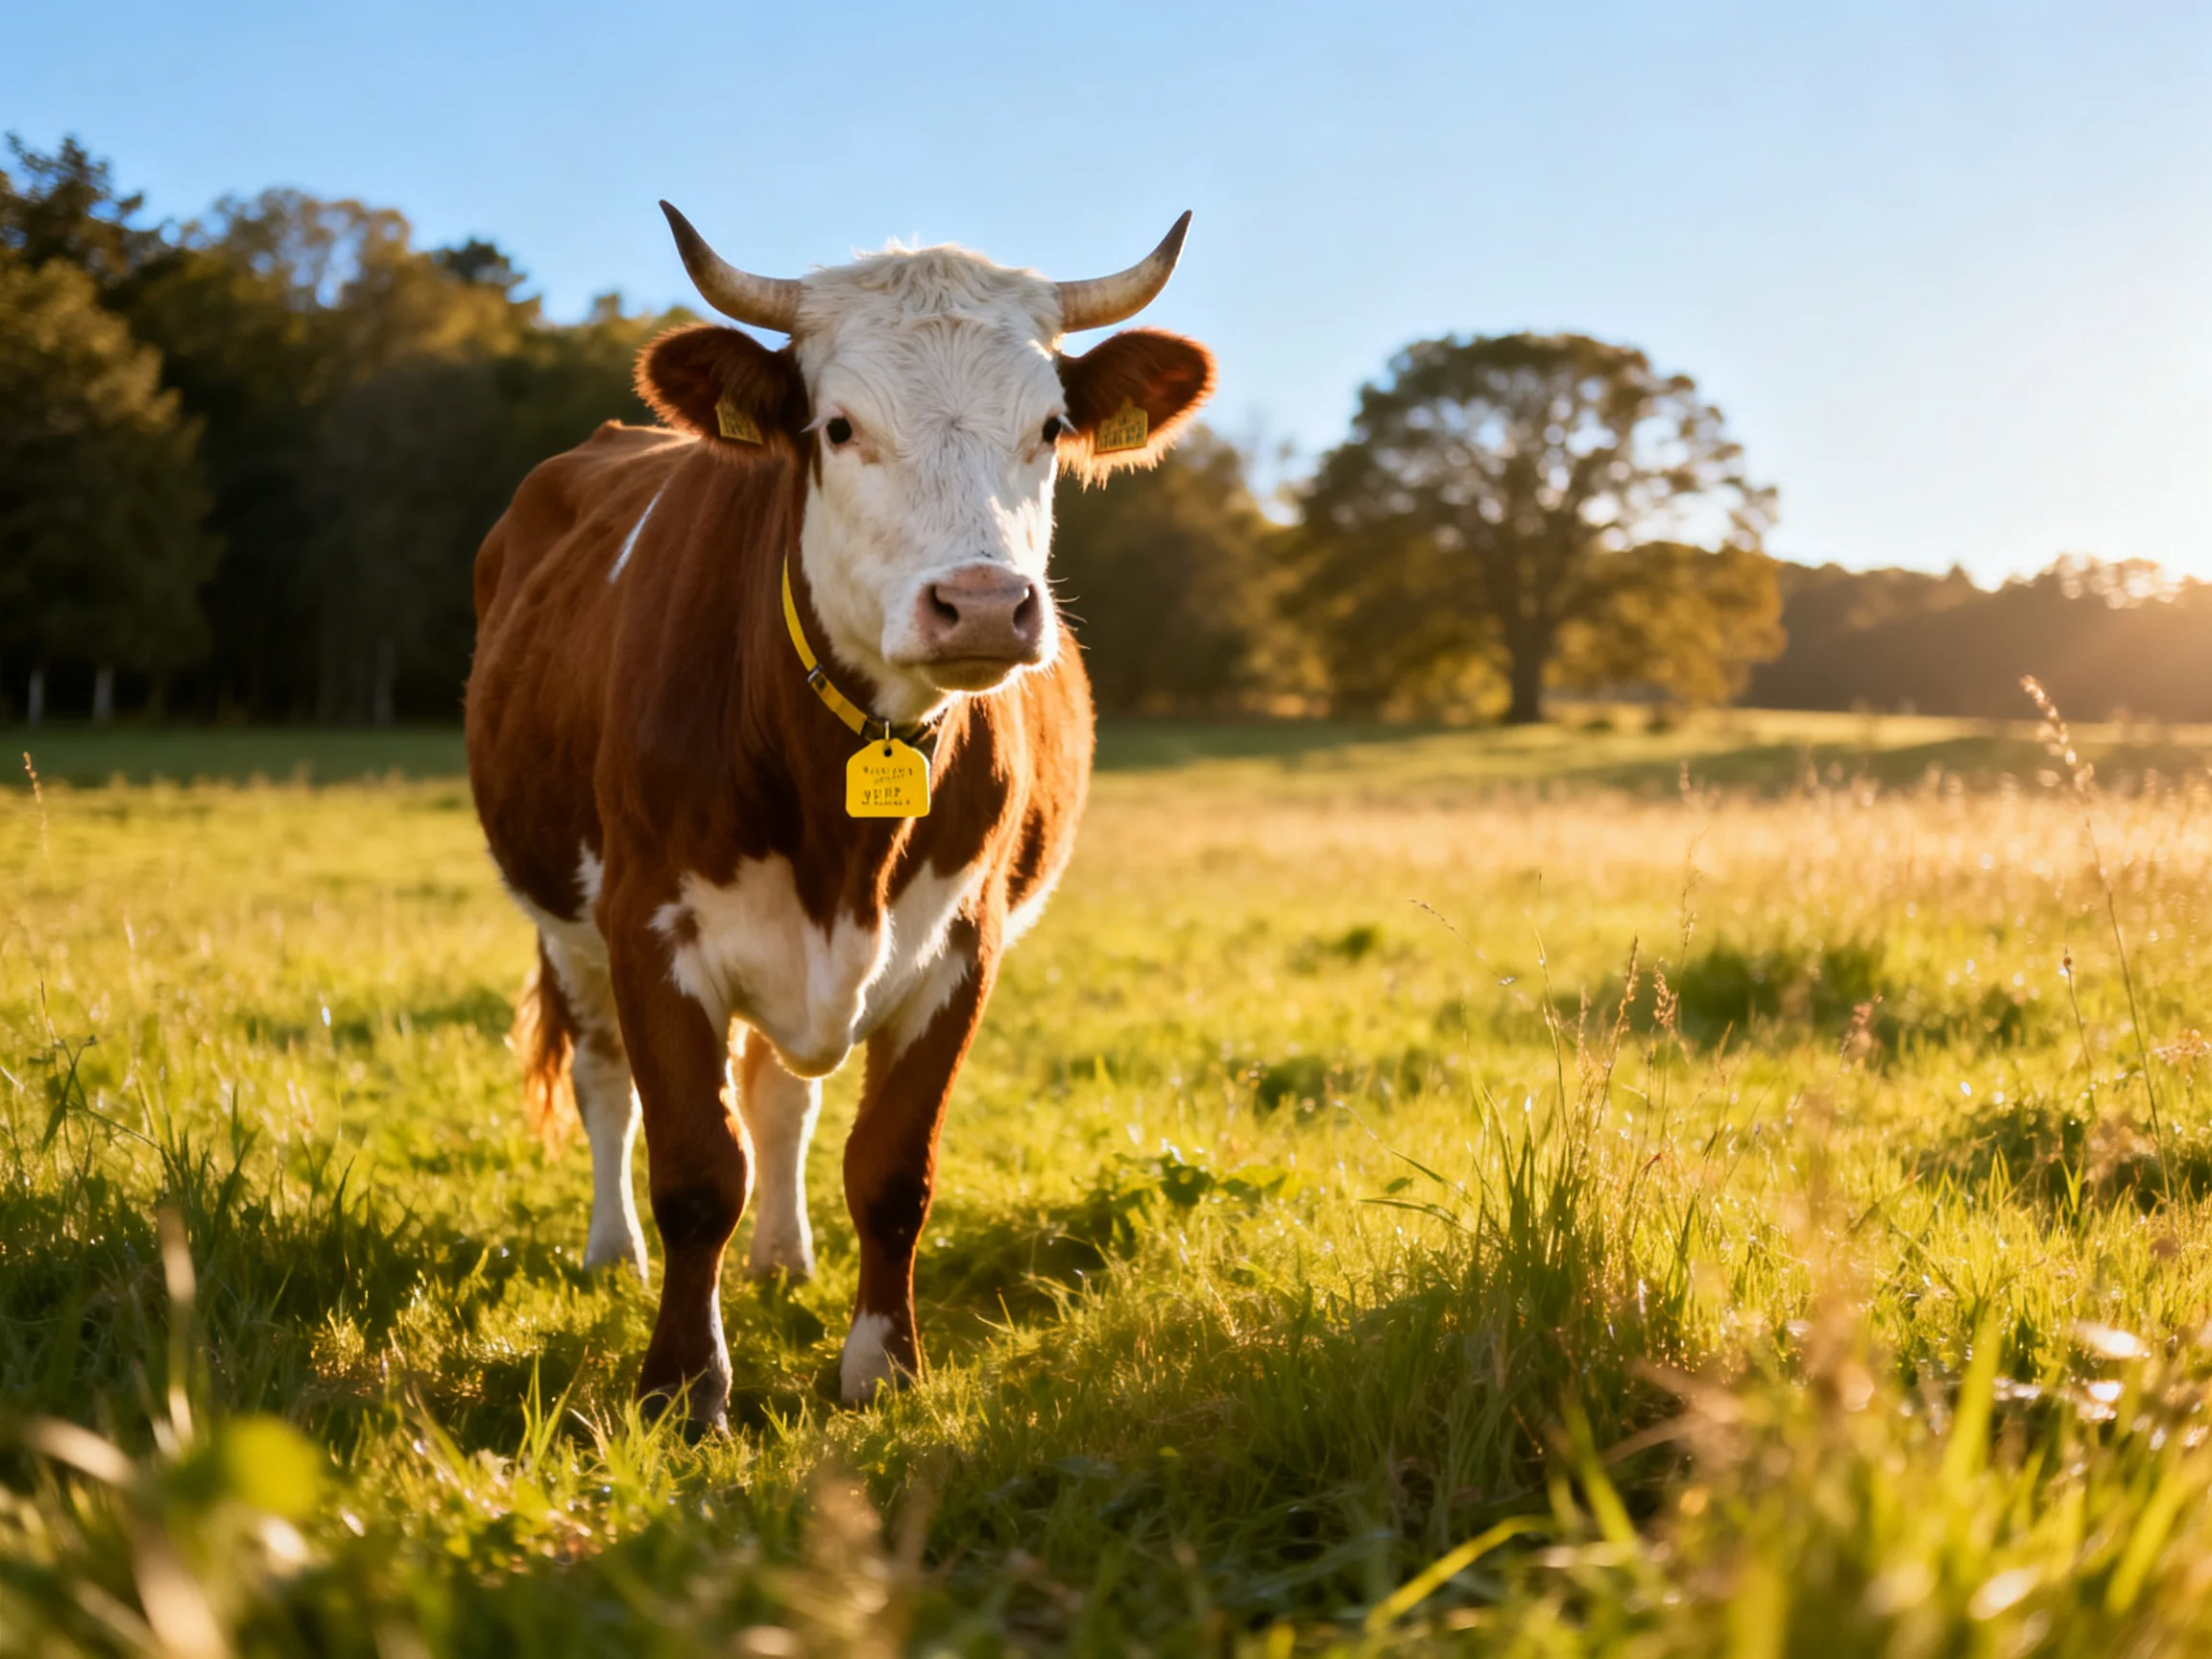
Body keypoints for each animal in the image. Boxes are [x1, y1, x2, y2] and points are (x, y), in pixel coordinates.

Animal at [464, 204, 1214, 1432]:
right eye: (839, 425)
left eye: (1049, 426)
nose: (982, 605)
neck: (843, 819)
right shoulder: (648, 928)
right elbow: (693, 1168)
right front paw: (684, 1386)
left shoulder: (961, 946)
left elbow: (892, 1171)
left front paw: (884, 1365)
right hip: (561, 919)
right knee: (604, 1080)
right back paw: (611, 1254)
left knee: (782, 1096)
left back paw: (782, 1257)